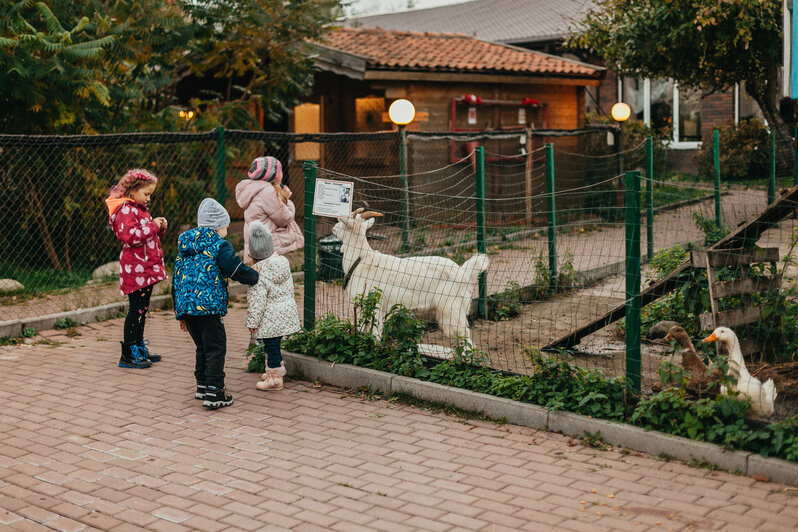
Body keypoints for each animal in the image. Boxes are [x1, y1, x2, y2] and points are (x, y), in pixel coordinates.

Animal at [330, 210, 488, 342]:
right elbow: (366, 331)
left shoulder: (375, 304)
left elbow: (375, 334)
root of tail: (463, 271)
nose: (333, 228)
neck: (362, 260)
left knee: (464, 333)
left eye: (343, 222)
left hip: (452, 307)